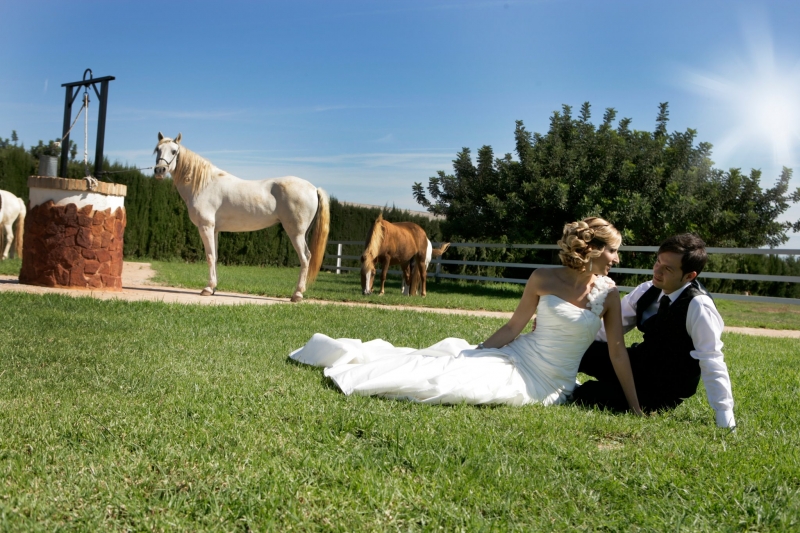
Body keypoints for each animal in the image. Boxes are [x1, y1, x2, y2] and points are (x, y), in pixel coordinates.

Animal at [152, 131, 330, 302]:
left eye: (174, 151)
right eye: (157, 149)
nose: (159, 170)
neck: (204, 185)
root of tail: (314, 188)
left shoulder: (205, 227)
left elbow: (209, 256)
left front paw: (207, 289)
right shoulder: (214, 230)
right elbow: (215, 257)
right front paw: (214, 288)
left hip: (296, 233)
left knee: (305, 258)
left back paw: (297, 294)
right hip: (303, 233)